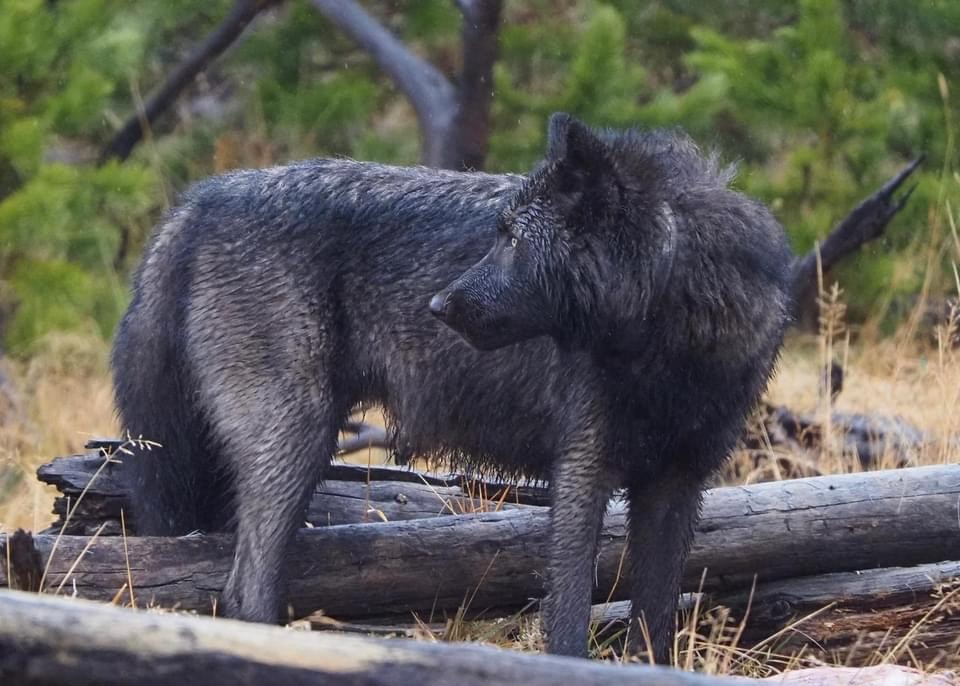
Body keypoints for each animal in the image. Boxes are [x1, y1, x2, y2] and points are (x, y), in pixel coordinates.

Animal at [112, 112, 792, 662]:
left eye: (511, 239)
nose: (437, 305)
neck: (672, 344)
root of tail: (202, 198)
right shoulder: (582, 470)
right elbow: (569, 615)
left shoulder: (677, 482)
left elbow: (654, 620)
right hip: (297, 442)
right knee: (243, 591)